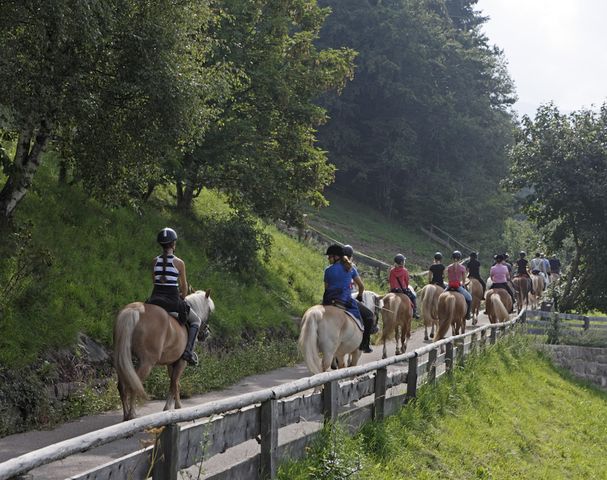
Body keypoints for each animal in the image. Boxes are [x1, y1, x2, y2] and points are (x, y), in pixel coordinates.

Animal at [113, 288, 215, 420]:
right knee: (134, 384)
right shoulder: (181, 362)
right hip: (147, 363)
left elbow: (174, 383)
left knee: (122, 386)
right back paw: (132, 415)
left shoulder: (171, 363)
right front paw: (174, 407)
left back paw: (126, 416)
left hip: (122, 359)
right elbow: (174, 383)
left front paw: (172, 407)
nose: (206, 333)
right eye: (209, 311)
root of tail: (134, 310)